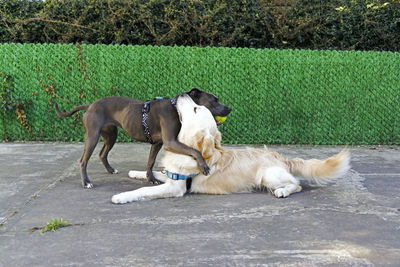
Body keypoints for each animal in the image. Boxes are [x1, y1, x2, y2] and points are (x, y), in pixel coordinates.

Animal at [55, 88, 231, 188]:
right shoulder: (171, 142)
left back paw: (111, 170)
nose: (229, 108)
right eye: (214, 100)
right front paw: (204, 166)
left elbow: (150, 161)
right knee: (83, 160)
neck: (177, 108)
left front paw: (150, 178)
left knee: (102, 153)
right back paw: (86, 182)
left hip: (111, 135)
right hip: (92, 136)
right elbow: (195, 151)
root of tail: (90, 105)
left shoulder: (158, 143)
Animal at [111, 94, 348, 203]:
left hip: (269, 176)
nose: (182, 94)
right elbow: (155, 174)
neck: (187, 150)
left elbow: (144, 191)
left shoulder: (175, 187)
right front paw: (137, 173)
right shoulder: (172, 176)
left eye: (196, 109)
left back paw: (282, 191)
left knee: (296, 185)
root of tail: (282, 157)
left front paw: (122, 196)